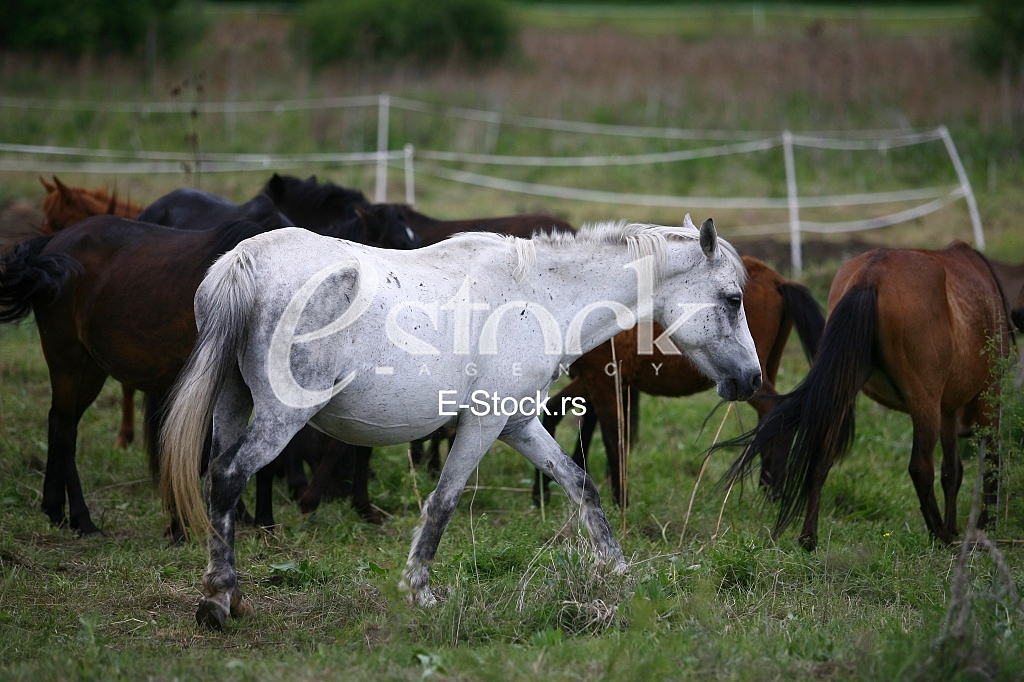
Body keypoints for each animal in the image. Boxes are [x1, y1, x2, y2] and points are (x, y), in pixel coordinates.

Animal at [159, 216, 763, 628]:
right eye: (732, 299)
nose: (752, 379)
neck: (538, 295)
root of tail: (241, 262)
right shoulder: (483, 425)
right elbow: (444, 501)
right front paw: (420, 591)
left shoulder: (519, 425)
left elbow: (581, 485)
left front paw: (618, 573)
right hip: (281, 416)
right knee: (228, 476)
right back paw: (218, 599)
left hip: (232, 404)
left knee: (220, 483)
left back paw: (231, 594)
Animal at [533, 256, 825, 508]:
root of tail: (778, 279)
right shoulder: (596, 380)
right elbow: (554, 412)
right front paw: (542, 494)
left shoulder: (604, 380)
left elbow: (613, 440)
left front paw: (620, 504)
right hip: (762, 373)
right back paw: (767, 487)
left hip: (751, 379)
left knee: (777, 415)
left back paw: (773, 495)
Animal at [721, 241, 1011, 550]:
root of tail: (871, 275)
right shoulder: (988, 396)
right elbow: (990, 464)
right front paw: (983, 528)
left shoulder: (950, 411)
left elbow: (953, 471)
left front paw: (961, 528)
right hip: (925, 400)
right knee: (921, 467)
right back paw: (941, 537)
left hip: (844, 388)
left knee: (821, 458)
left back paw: (809, 537)